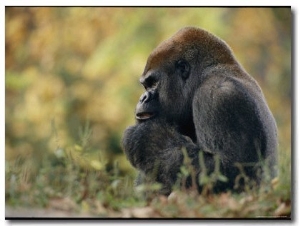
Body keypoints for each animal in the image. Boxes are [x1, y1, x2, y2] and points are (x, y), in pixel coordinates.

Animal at [120, 26, 278, 196]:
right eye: (146, 86)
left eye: (154, 83)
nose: (142, 98)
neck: (204, 75)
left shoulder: (218, 96)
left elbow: (229, 171)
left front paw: (147, 138)